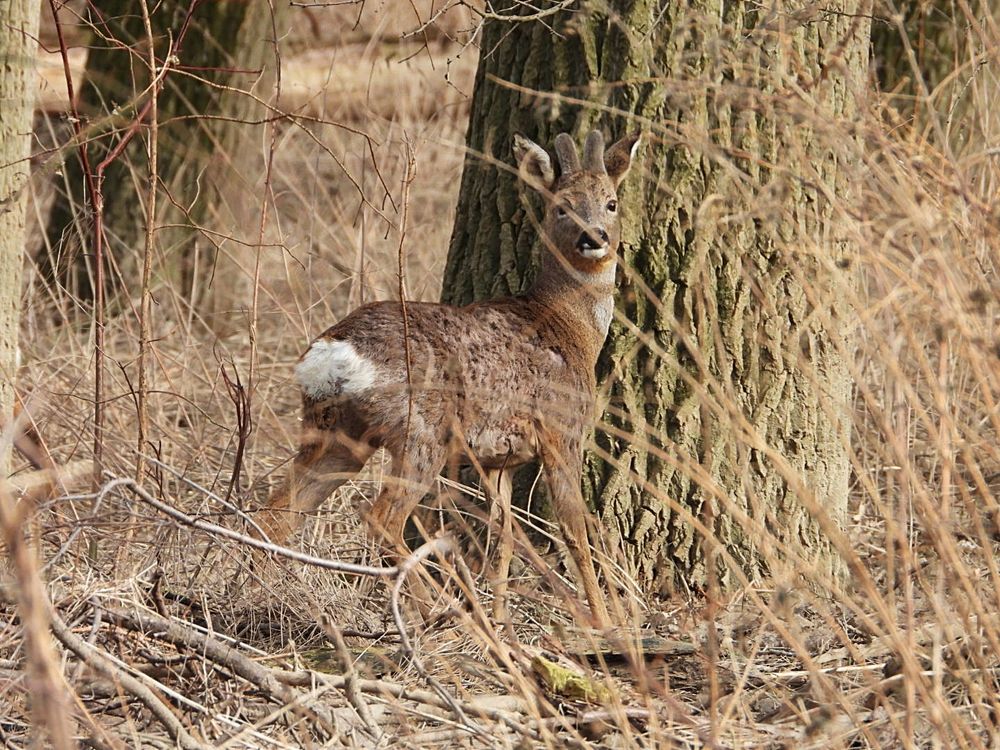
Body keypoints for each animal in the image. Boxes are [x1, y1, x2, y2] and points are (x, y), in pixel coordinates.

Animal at [260, 131, 640, 628]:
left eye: (611, 202)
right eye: (562, 206)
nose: (593, 238)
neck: (570, 330)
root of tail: (332, 353)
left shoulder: (501, 460)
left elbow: (504, 535)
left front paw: (502, 615)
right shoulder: (562, 430)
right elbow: (573, 530)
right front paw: (604, 622)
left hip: (336, 433)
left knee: (278, 512)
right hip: (421, 432)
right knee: (381, 519)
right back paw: (438, 612)